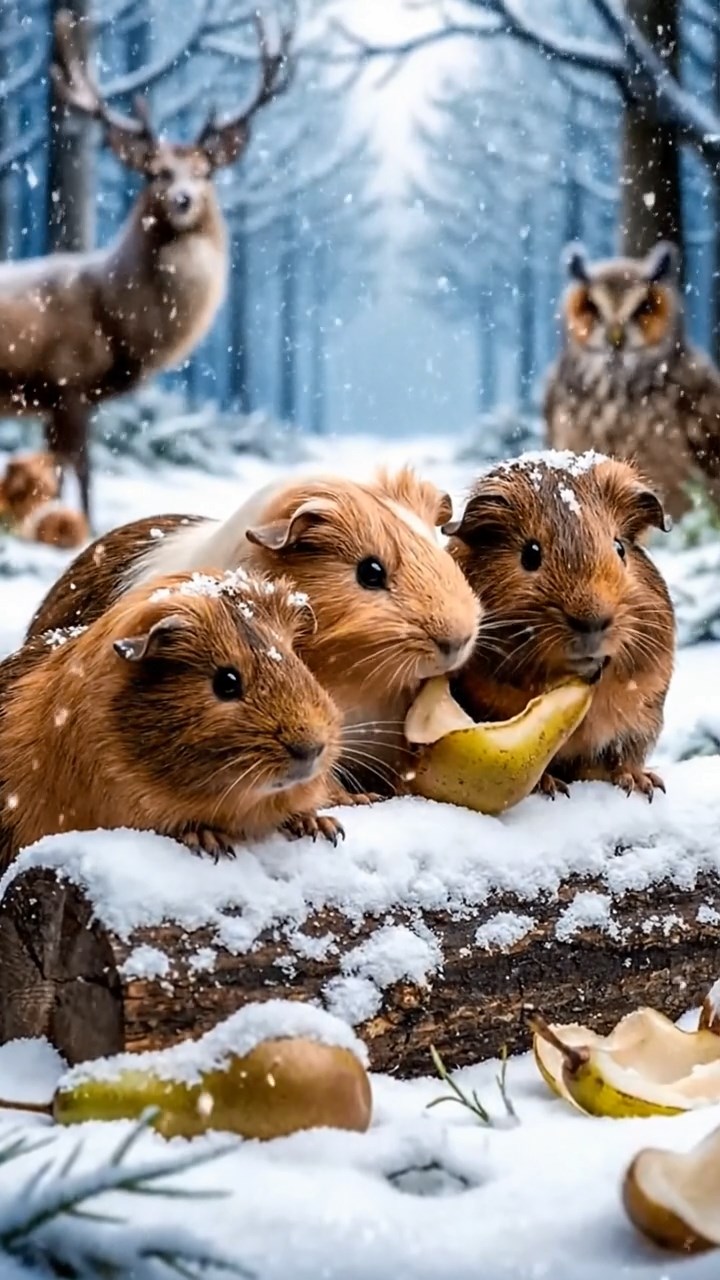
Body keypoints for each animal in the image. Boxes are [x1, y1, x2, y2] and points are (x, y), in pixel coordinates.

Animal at [0, 8, 292, 528]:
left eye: (204, 171)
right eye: (157, 172)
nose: (183, 199)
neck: (117, 320)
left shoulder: (61, 397)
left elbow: (61, 468)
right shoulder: (67, 380)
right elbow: (78, 470)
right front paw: (81, 528)